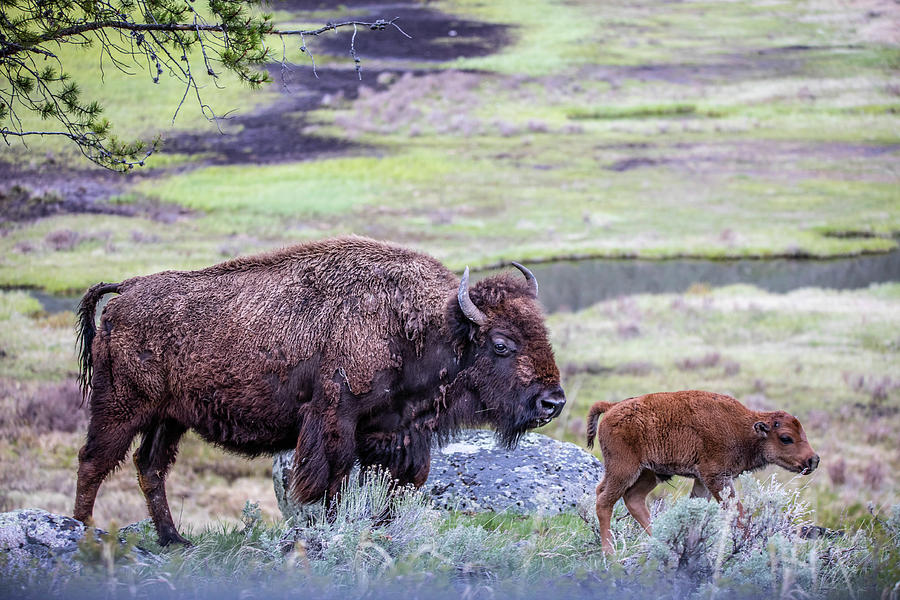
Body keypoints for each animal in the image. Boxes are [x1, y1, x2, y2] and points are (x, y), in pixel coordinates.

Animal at [74, 237, 564, 548]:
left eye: (543, 331)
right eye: (501, 343)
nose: (553, 402)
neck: (417, 328)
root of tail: (123, 293)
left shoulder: (398, 434)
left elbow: (396, 485)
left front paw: (380, 529)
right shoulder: (335, 420)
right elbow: (332, 480)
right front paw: (333, 530)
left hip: (168, 418)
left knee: (150, 468)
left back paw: (175, 540)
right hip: (120, 407)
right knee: (94, 462)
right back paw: (80, 532)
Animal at [588, 392, 820, 556]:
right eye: (786, 438)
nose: (813, 460)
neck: (743, 428)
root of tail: (612, 407)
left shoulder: (702, 480)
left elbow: (695, 510)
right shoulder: (716, 477)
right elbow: (738, 513)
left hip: (648, 473)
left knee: (632, 499)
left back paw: (662, 543)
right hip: (624, 469)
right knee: (604, 501)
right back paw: (609, 554)